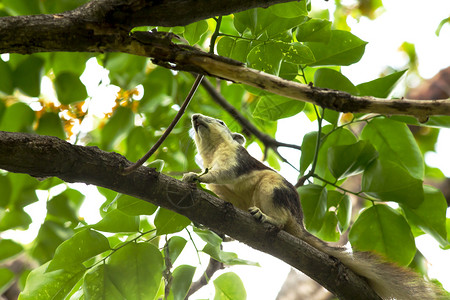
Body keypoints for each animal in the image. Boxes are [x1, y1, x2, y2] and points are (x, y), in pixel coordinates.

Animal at [184, 113, 442, 300]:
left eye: (220, 122)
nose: (195, 116)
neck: (212, 151)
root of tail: (299, 224)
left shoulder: (236, 159)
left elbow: (223, 173)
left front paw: (195, 176)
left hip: (271, 189)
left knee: (280, 218)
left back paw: (267, 217)